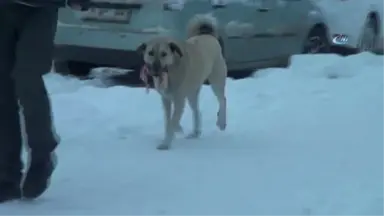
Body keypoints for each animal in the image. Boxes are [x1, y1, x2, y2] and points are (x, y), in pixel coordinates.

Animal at [137, 13, 228, 150]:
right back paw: (196, 132)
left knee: (222, 100)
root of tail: (209, 35)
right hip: (192, 92)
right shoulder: (166, 99)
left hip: (216, 80)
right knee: (197, 110)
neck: (171, 71)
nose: (155, 70)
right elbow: (168, 119)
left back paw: (221, 122)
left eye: (164, 54)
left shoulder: (179, 100)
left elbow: (173, 120)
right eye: (150, 53)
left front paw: (166, 143)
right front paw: (175, 129)